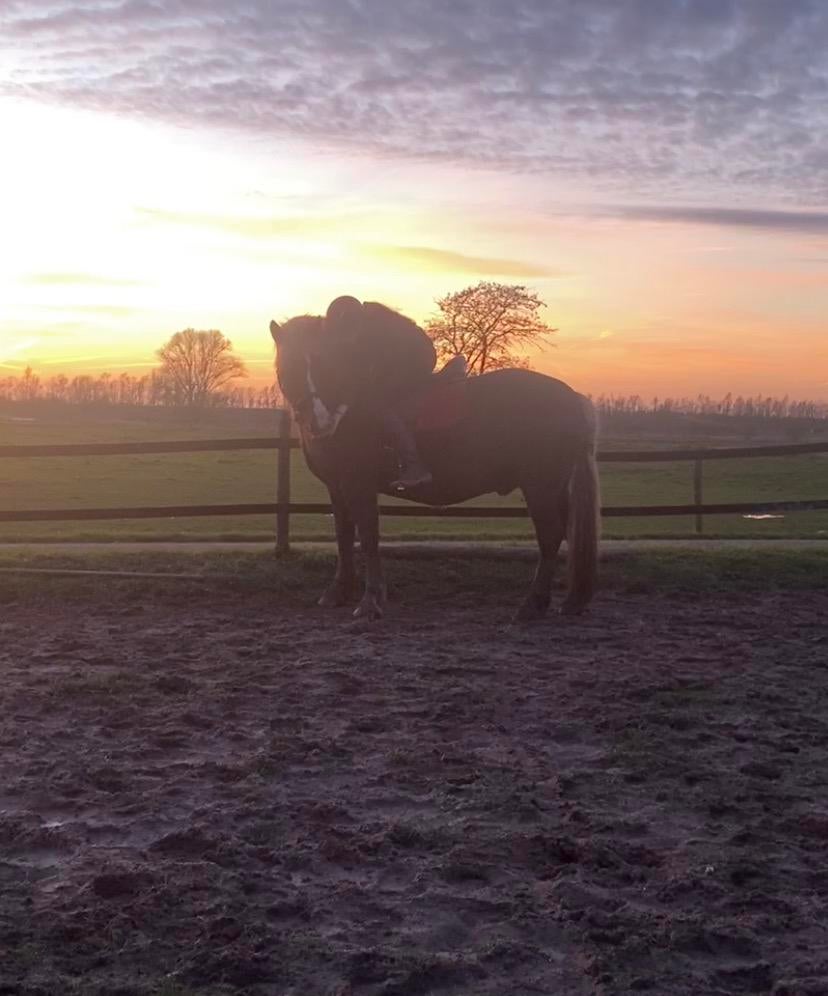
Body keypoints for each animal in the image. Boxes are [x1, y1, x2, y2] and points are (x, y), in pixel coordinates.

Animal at [269, 309, 600, 621]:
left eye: (326, 365)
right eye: (287, 367)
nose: (318, 422)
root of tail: (573, 398)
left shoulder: (359, 485)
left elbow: (368, 537)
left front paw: (371, 601)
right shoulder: (337, 488)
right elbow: (344, 536)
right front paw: (338, 592)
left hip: (539, 486)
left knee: (550, 536)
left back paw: (532, 605)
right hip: (554, 487)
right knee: (567, 534)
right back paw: (570, 601)